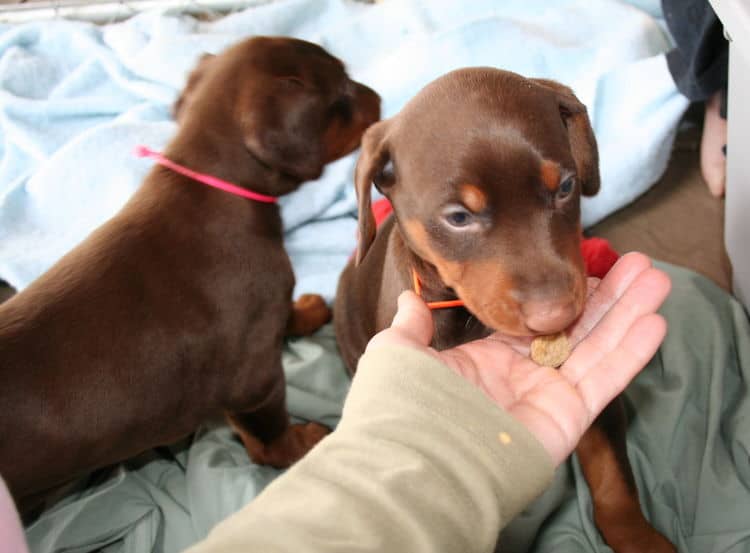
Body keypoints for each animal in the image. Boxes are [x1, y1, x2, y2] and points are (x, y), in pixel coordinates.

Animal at [0, 36, 382, 506]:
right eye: (343, 90)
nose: (378, 97)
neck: (213, 182)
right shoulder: (254, 377)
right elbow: (270, 439)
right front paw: (302, 443)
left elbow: (284, 315)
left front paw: (307, 309)